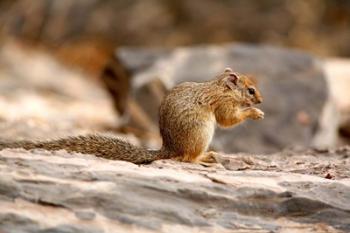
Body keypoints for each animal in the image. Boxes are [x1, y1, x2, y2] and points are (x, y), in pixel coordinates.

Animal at [0, 68, 262, 164]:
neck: (221, 87)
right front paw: (255, 112)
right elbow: (228, 120)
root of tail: (168, 149)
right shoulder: (223, 104)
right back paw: (206, 157)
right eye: (251, 90)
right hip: (202, 133)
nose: (260, 100)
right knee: (188, 158)